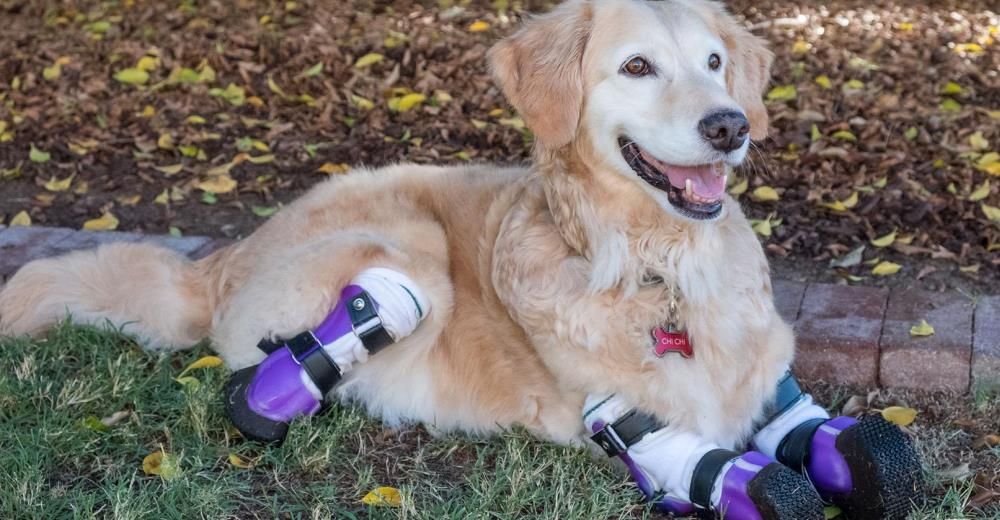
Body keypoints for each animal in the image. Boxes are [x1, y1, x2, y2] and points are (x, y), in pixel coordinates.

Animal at [3, 1, 896, 516]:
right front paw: (744, 479)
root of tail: (219, 259)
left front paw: (850, 452)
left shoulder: (765, 375)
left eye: (714, 62)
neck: (660, 267)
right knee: (319, 342)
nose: (730, 125)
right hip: (413, 255)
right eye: (637, 66)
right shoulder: (614, 412)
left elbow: (797, 412)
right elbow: (682, 444)